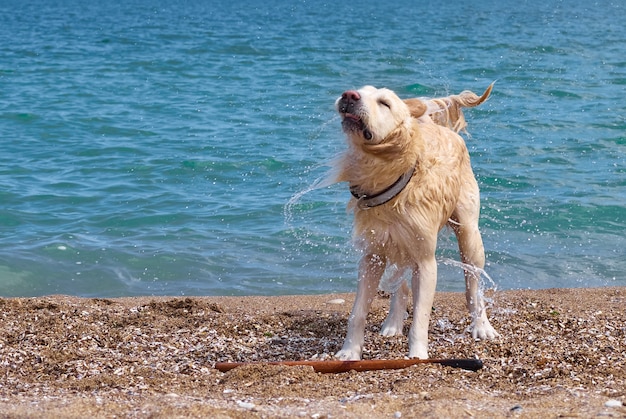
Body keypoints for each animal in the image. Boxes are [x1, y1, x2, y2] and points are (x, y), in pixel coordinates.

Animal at [332, 83, 498, 360]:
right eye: (361, 91)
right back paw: (393, 322)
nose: (349, 95)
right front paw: (349, 352)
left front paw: (417, 355)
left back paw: (482, 325)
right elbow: (358, 311)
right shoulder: (372, 255)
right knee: (400, 283)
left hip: (469, 235)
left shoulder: (426, 261)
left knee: (473, 284)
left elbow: (421, 316)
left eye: (385, 103)